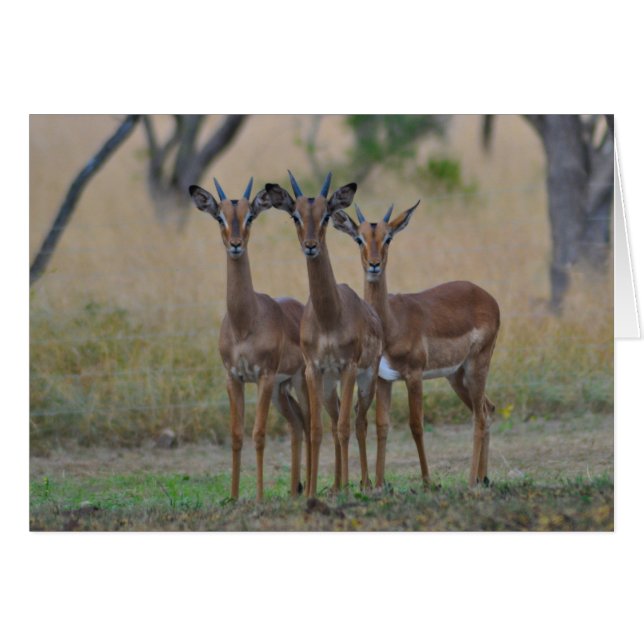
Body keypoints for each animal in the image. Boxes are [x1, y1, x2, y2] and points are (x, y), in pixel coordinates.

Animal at [189, 177, 309, 501]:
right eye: (220, 217)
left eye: (250, 216)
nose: (235, 244)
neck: (245, 323)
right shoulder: (234, 378)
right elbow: (236, 434)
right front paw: (232, 497)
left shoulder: (264, 377)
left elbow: (258, 434)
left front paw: (258, 496)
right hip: (283, 390)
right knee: (298, 424)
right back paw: (296, 490)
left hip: (300, 381)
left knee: (316, 423)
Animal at [266, 172, 383, 497]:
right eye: (295, 215)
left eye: (326, 215)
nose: (310, 245)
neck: (330, 317)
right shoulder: (313, 370)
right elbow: (318, 430)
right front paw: (311, 492)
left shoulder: (349, 368)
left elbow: (345, 427)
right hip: (330, 385)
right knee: (335, 420)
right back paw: (338, 484)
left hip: (367, 381)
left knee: (358, 420)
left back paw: (365, 482)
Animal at [332, 202, 500, 487]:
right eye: (359, 238)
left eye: (388, 238)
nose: (374, 265)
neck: (390, 323)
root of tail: (489, 298)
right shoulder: (384, 379)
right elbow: (382, 425)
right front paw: (379, 484)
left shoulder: (414, 375)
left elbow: (416, 425)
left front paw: (427, 480)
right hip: (457, 376)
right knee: (487, 409)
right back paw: (483, 478)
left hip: (477, 367)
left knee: (479, 416)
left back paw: (470, 481)